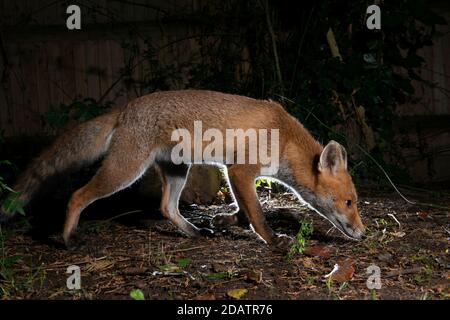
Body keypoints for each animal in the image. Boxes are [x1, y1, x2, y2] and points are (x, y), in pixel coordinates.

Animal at [0, 90, 364, 250]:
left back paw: (193, 231)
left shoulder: (235, 172)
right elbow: (257, 215)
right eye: (349, 202)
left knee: (166, 207)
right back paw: (65, 237)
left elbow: (244, 211)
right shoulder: (241, 171)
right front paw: (273, 239)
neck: (284, 137)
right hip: (125, 171)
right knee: (77, 195)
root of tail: (125, 108)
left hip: (178, 170)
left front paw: (225, 222)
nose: (363, 233)